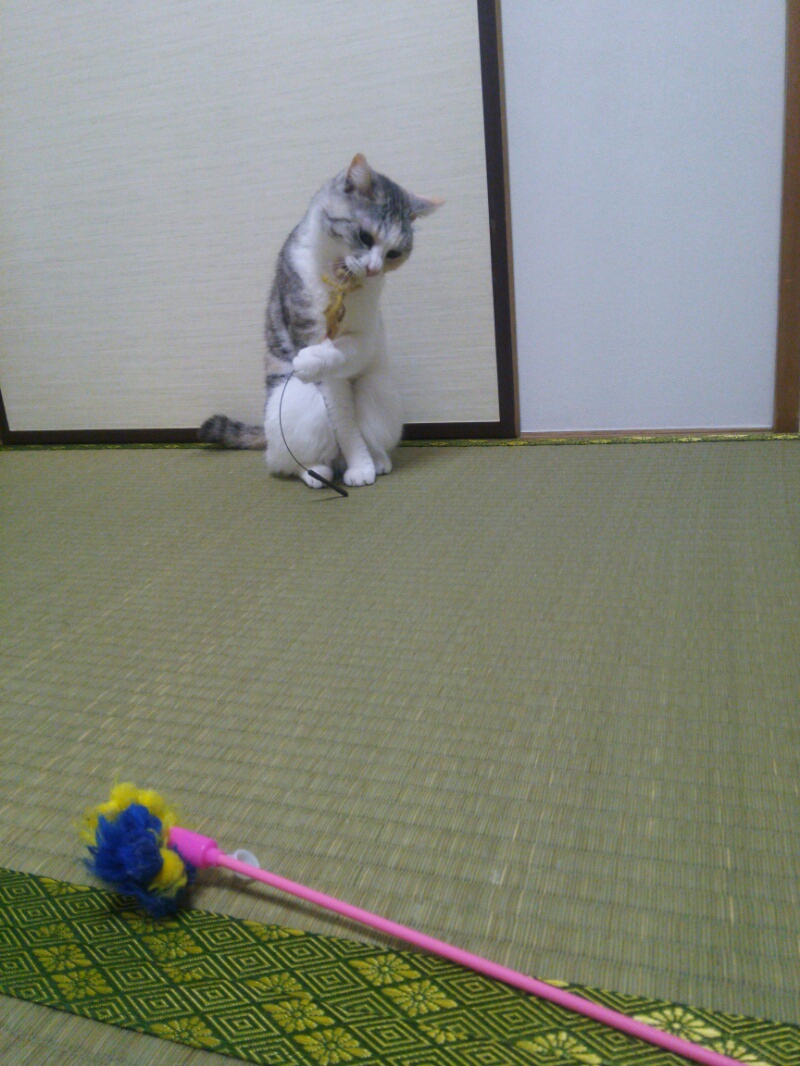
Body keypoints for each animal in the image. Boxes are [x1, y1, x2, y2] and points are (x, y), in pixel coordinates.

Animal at [199, 154, 441, 488]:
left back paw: (377, 460)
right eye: (365, 237)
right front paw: (359, 465)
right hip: (297, 402)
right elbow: (342, 418)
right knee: (288, 461)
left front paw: (363, 465)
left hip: (377, 388)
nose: (374, 269)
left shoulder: (366, 333)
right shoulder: (309, 331)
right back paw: (317, 472)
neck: (341, 282)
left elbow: (346, 353)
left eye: (393, 253)